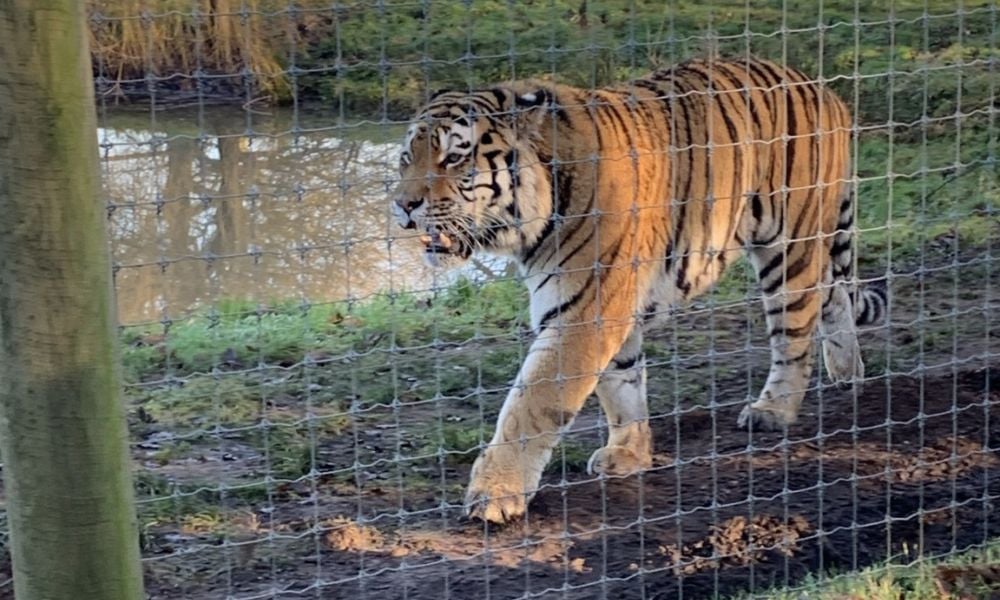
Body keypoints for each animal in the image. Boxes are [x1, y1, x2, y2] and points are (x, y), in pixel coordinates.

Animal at [390, 55, 887, 524]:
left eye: (454, 158)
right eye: (405, 158)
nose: (403, 205)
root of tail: (820, 86)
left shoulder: (586, 311)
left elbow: (531, 405)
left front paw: (495, 494)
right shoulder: (601, 303)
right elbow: (622, 383)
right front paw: (630, 451)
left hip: (789, 246)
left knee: (794, 336)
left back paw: (774, 410)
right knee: (833, 295)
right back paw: (848, 373)